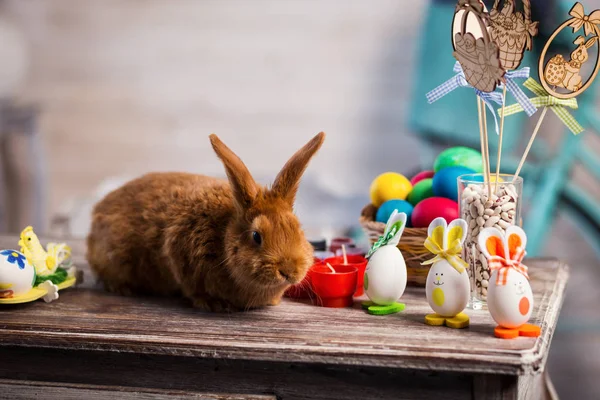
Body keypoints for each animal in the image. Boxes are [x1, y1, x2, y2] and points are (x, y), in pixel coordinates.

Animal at [85, 133, 324, 310]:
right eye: (256, 236)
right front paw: (214, 304)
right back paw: (123, 288)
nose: (288, 271)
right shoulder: (178, 254)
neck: (222, 235)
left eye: (298, 229)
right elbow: (193, 289)